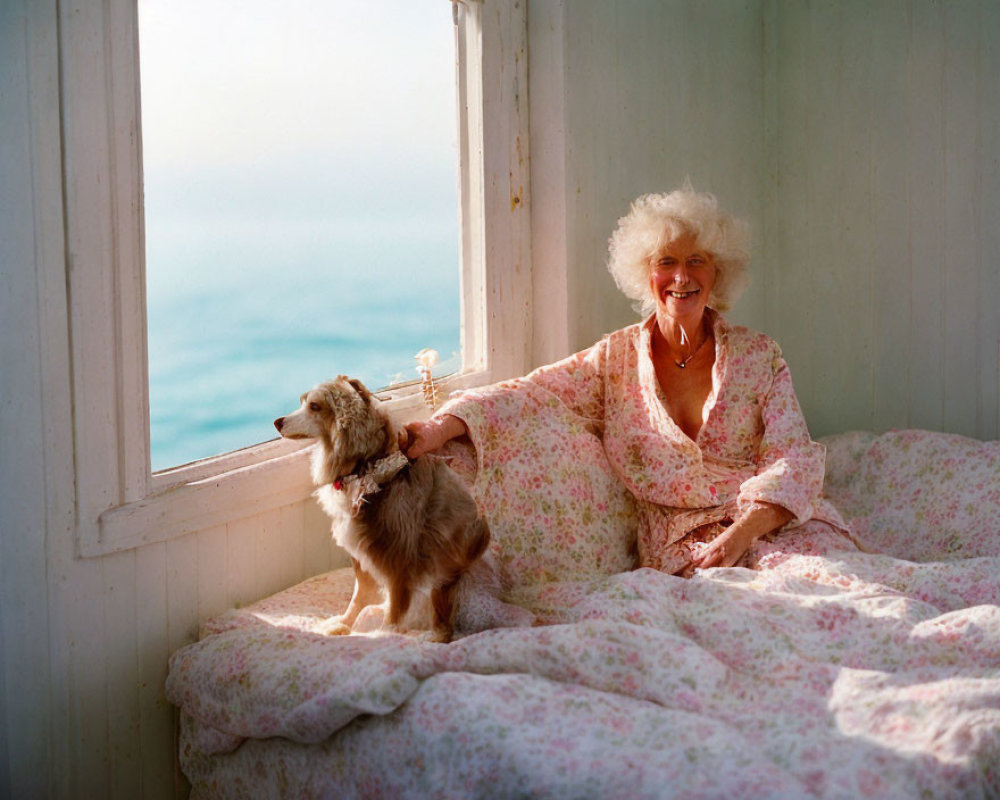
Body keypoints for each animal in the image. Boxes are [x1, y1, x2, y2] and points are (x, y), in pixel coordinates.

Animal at [274, 376, 492, 644]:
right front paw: (344, 623)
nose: (277, 422)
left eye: (314, 406)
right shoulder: (363, 549)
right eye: (303, 402)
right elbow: (360, 595)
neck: (367, 468)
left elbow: (396, 609)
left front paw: (383, 635)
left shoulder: (399, 555)